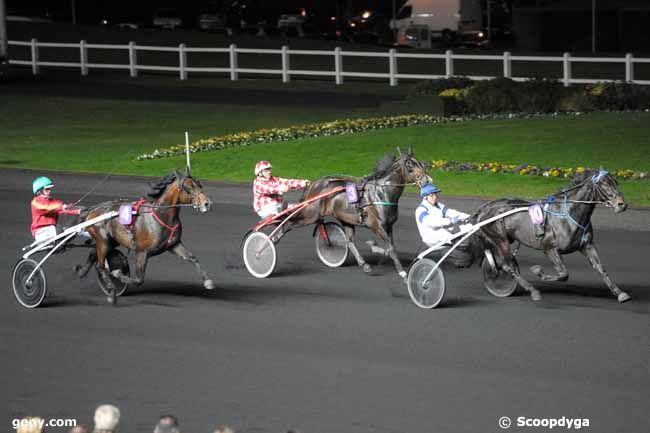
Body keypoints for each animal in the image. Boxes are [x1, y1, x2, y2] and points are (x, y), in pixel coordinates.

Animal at [76, 169, 213, 304]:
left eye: (199, 184)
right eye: (188, 187)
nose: (207, 203)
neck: (161, 216)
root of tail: (93, 210)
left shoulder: (174, 245)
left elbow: (192, 258)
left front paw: (208, 281)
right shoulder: (141, 252)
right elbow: (138, 279)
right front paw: (117, 272)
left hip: (111, 241)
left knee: (93, 254)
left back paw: (81, 271)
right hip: (103, 241)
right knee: (100, 266)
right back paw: (111, 290)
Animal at [288, 146, 430, 280]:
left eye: (420, 163)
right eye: (410, 165)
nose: (427, 180)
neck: (382, 193)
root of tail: (314, 184)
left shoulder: (389, 226)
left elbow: (391, 248)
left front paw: (376, 249)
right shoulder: (377, 226)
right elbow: (391, 249)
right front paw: (402, 273)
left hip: (345, 219)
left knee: (349, 241)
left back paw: (364, 264)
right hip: (310, 214)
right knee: (289, 223)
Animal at [470, 167, 628, 302]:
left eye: (616, 182)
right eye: (603, 183)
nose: (622, 204)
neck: (570, 212)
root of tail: (483, 208)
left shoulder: (587, 246)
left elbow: (600, 268)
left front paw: (619, 293)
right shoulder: (549, 248)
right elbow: (563, 274)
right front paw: (538, 271)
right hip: (500, 239)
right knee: (507, 265)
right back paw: (532, 290)